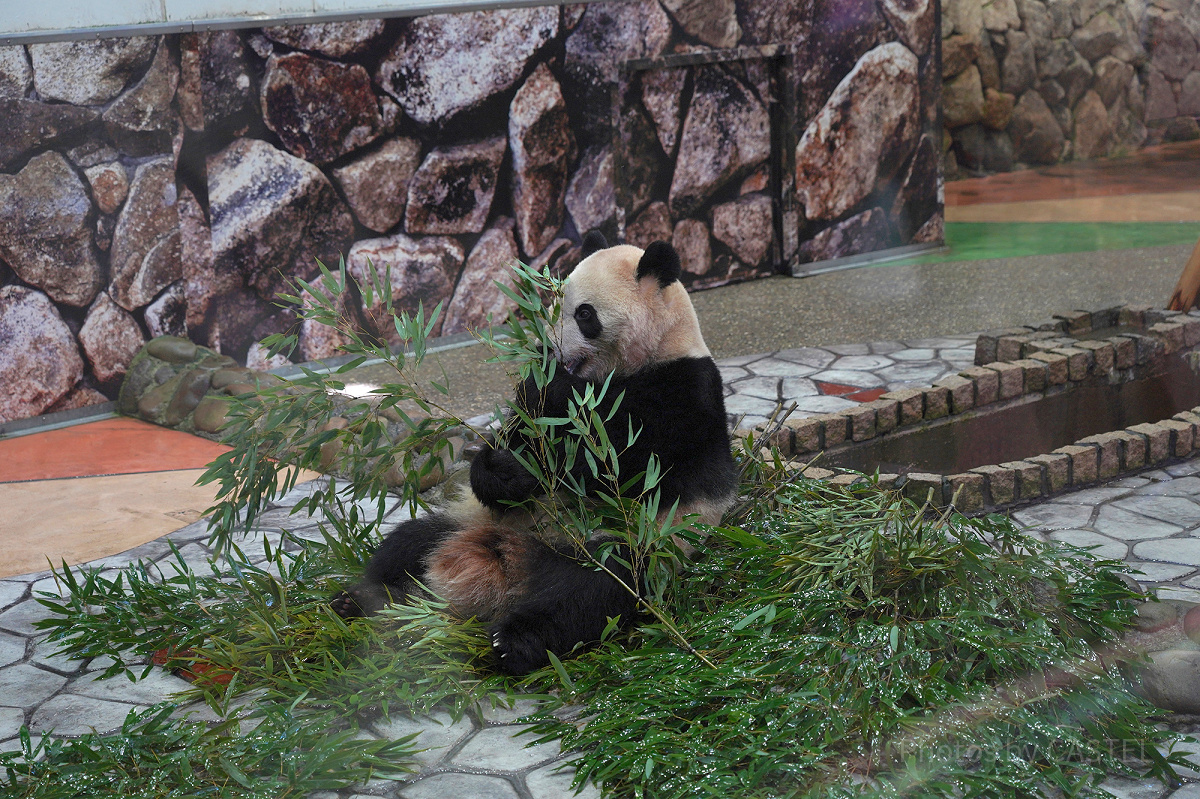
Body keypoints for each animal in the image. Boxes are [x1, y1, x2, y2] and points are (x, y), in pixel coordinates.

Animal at [333, 231, 734, 671]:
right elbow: (519, 431)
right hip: (466, 521)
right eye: (554, 304)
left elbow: (621, 465)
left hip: (633, 541)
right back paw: (357, 600)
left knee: (590, 591)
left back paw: (511, 642)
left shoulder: (682, 393)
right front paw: (504, 466)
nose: (552, 349)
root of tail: (511, 564)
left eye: (585, 314)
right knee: (407, 543)